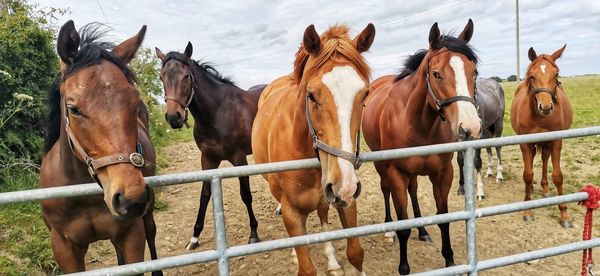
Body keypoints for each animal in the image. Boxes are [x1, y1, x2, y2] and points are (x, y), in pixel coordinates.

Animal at [39, 20, 162, 274]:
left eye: (135, 103)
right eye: (73, 109)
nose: (130, 198)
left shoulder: (132, 236)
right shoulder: (64, 248)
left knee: (152, 233)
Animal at [156, 42, 266, 249]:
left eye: (186, 76)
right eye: (161, 77)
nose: (174, 118)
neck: (218, 112)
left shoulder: (239, 158)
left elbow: (246, 194)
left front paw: (254, 233)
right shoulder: (208, 159)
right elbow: (205, 195)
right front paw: (194, 237)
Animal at [252, 24, 376, 276]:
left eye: (365, 94)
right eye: (311, 95)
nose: (344, 184)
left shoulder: (346, 201)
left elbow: (356, 253)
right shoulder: (292, 212)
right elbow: (306, 267)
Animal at [360, 20, 482, 274]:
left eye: (474, 72)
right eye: (436, 74)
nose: (470, 127)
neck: (418, 123)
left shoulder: (443, 173)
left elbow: (443, 217)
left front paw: (450, 261)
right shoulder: (397, 174)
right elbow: (404, 226)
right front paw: (404, 267)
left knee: (414, 191)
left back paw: (423, 230)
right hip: (381, 165)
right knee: (385, 190)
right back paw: (388, 228)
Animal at [508, 44, 576, 227]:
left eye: (556, 74)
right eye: (532, 76)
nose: (545, 107)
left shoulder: (556, 141)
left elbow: (558, 176)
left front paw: (564, 213)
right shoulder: (525, 143)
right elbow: (527, 174)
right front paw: (528, 209)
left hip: (547, 143)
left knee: (545, 159)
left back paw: (545, 188)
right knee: (532, 159)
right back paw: (532, 188)